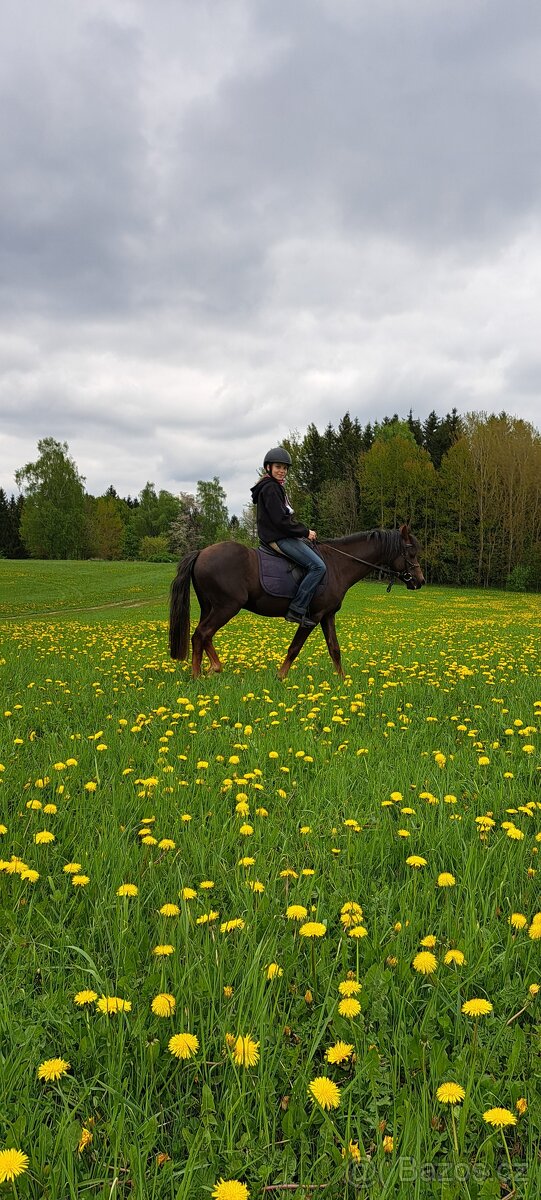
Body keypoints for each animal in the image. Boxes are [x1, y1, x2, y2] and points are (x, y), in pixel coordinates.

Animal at [169, 524, 424, 680]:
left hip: (210, 607)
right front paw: (281, 677)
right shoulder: (312, 617)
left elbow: (335, 649)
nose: (420, 581)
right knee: (201, 635)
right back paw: (197, 676)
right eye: (411, 553)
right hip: (226, 607)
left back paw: (213, 668)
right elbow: (294, 648)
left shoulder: (327, 615)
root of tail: (201, 552)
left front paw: (342, 681)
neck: (337, 564)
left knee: (204, 635)